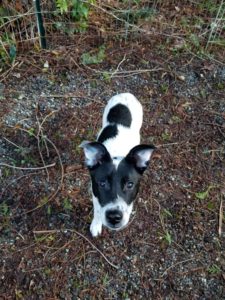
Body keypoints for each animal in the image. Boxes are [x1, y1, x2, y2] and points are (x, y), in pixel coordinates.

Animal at [80, 94, 155, 237]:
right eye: (102, 183)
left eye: (130, 184)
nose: (114, 217)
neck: (116, 152)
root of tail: (126, 94)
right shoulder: (95, 193)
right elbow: (97, 210)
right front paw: (96, 225)